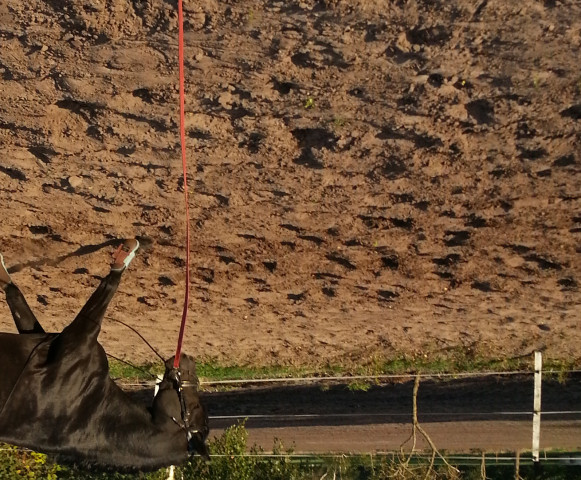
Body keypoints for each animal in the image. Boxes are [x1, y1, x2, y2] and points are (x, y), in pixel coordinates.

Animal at [0, 238, 208, 470]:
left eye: (195, 406)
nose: (190, 361)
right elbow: (15, 295)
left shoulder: (78, 336)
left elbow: (107, 288)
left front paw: (125, 255)